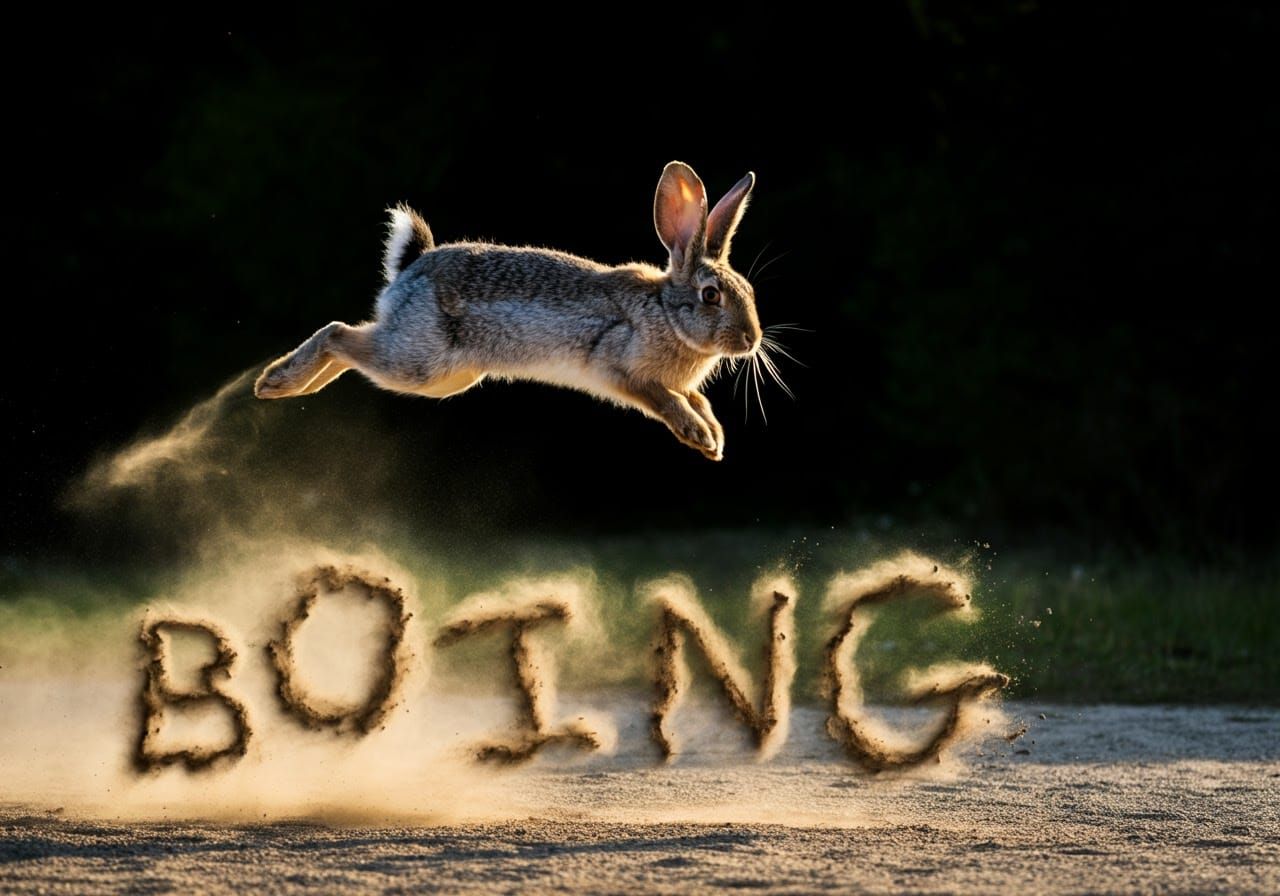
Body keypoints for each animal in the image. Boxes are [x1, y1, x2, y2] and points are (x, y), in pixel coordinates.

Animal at [254, 161, 762, 460]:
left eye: (750, 291)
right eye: (711, 296)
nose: (751, 339)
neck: (667, 314)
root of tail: (410, 268)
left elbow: (697, 400)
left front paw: (715, 437)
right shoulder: (622, 369)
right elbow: (664, 401)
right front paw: (699, 436)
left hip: (446, 377)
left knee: (349, 342)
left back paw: (291, 387)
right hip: (418, 363)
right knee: (338, 333)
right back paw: (277, 382)